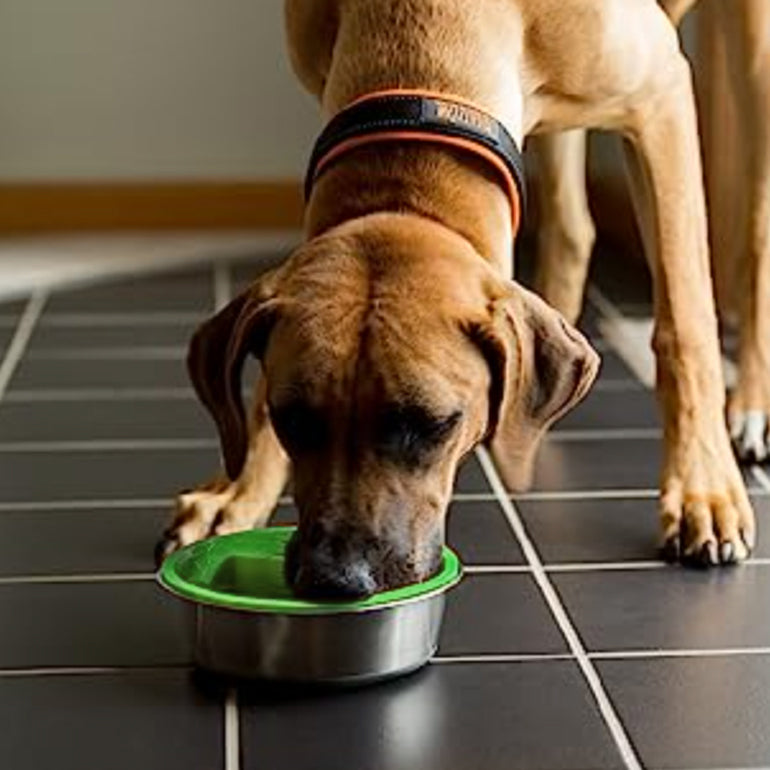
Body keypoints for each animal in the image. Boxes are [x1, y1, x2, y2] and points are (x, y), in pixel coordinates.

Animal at [159, 0, 752, 592]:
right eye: (293, 418)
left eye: (433, 425)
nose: (336, 579)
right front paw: (238, 491)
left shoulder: (662, 96)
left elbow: (686, 319)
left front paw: (702, 487)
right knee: (572, 225)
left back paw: (745, 411)